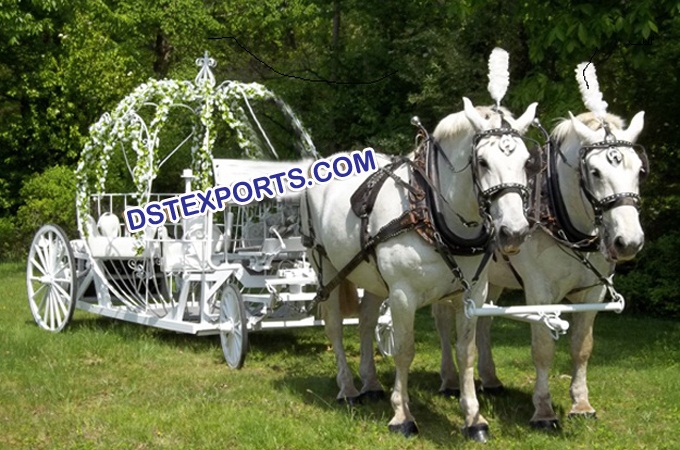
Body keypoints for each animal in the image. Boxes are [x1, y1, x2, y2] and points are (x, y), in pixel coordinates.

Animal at [302, 96, 536, 442]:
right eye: (482, 162)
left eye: (527, 161)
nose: (515, 232)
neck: (430, 211)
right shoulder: (402, 295)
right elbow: (404, 350)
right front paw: (402, 415)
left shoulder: (473, 294)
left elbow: (466, 353)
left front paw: (474, 418)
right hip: (327, 266)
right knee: (334, 325)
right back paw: (348, 389)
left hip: (370, 274)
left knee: (366, 321)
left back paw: (370, 384)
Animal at [432, 103, 644, 428]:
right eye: (595, 172)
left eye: (639, 170)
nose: (629, 241)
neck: (559, 214)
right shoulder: (539, 291)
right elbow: (543, 349)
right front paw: (543, 411)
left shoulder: (592, 292)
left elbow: (582, 347)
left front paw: (581, 404)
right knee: (444, 322)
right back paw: (450, 380)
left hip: (493, 279)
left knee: (484, 322)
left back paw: (490, 379)